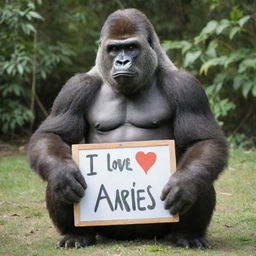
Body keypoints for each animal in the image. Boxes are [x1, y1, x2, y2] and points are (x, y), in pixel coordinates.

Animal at [28, 9, 228, 249]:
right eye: (114, 49)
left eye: (131, 47)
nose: (122, 61)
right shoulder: (75, 88)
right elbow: (55, 136)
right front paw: (62, 173)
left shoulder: (186, 86)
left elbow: (202, 142)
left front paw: (185, 184)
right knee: (55, 176)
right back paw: (76, 234)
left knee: (203, 174)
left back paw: (188, 234)